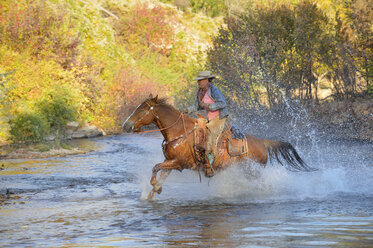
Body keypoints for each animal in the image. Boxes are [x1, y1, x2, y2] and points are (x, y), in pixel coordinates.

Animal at [122, 95, 314, 200]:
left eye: (142, 110)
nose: (125, 125)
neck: (179, 132)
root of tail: (262, 142)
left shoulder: (179, 163)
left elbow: (155, 168)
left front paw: (155, 187)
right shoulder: (170, 162)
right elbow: (160, 174)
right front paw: (153, 192)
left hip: (252, 172)